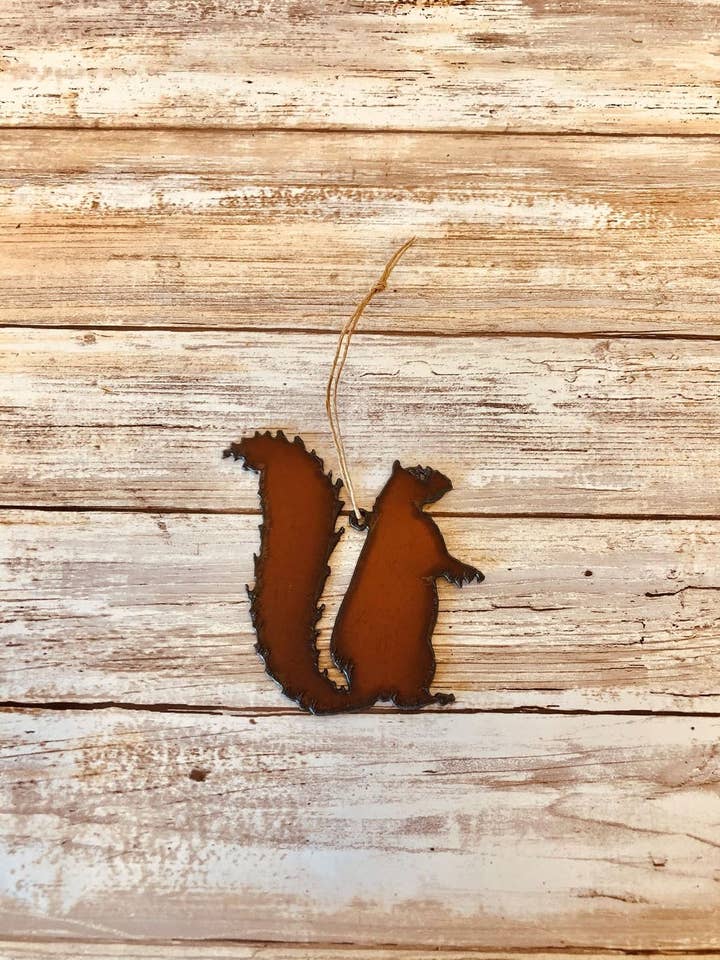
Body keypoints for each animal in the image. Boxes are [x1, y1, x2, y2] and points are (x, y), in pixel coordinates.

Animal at [224, 430, 483, 714]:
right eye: (421, 473)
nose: (447, 481)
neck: (399, 508)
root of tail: (362, 689)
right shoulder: (425, 544)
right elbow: (443, 562)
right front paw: (469, 571)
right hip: (422, 661)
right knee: (409, 698)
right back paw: (439, 697)